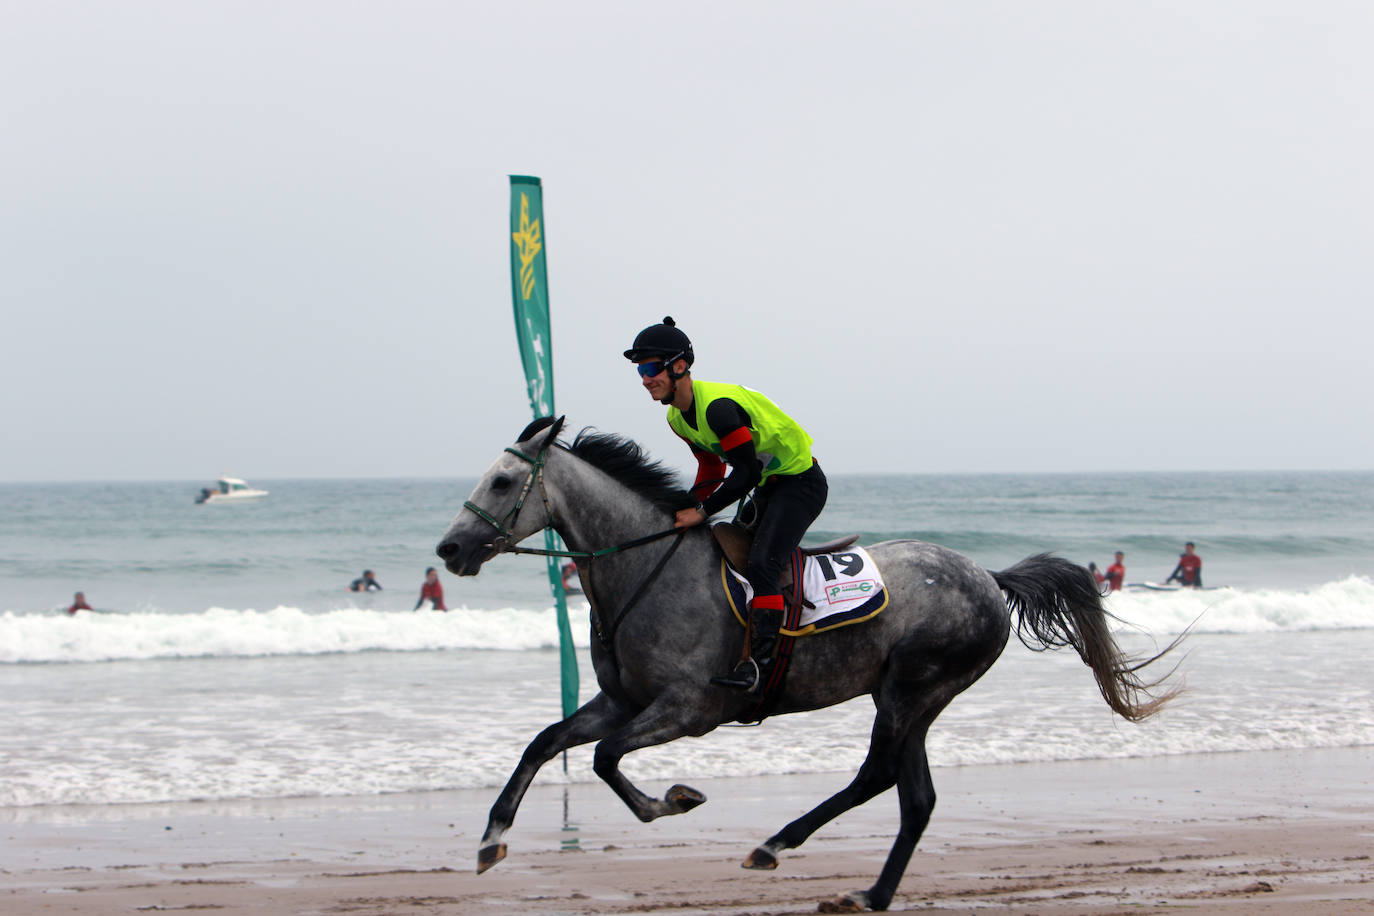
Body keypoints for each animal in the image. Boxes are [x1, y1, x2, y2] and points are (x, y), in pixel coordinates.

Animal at [434, 420, 1176, 911]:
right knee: (913, 795)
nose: (449, 549)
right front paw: (491, 838)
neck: (646, 568)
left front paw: (672, 800)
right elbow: (546, 743)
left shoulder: (689, 709)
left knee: (880, 775)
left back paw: (777, 846)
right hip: (909, 696)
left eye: (502, 481)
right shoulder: (621, 701)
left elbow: (604, 758)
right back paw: (868, 892)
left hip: (913, 688)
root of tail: (990, 578)